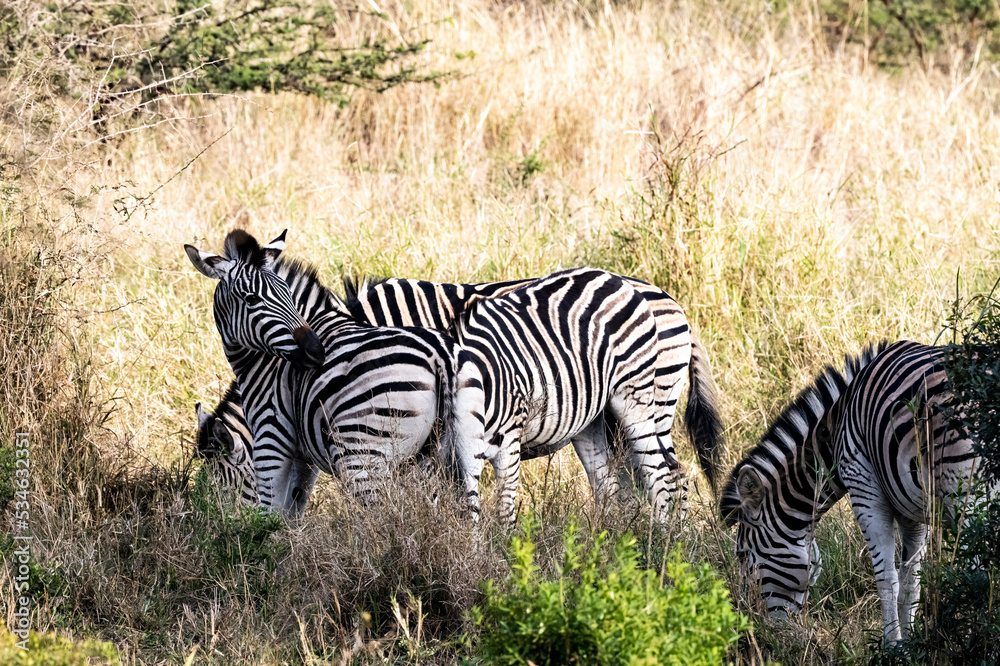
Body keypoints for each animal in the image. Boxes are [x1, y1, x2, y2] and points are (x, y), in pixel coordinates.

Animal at [185, 229, 490, 519]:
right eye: (251, 299)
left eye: (223, 490)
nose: (315, 349)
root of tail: (440, 356)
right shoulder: (303, 456)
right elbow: (293, 511)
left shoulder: (271, 436)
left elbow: (270, 514)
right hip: (463, 449)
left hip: (363, 456)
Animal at [197, 270, 724, 523]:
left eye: (228, 486)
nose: (230, 542)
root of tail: (669, 299)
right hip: (599, 416)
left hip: (651, 402)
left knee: (669, 475)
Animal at [721, 340, 981, 642]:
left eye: (742, 554)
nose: (755, 628)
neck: (836, 431)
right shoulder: (913, 509)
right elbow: (911, 583)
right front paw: (911, 641)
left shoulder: (864, 487)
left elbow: (887, 578)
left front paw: (893, 645)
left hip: (966, 495)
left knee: (979, 572)